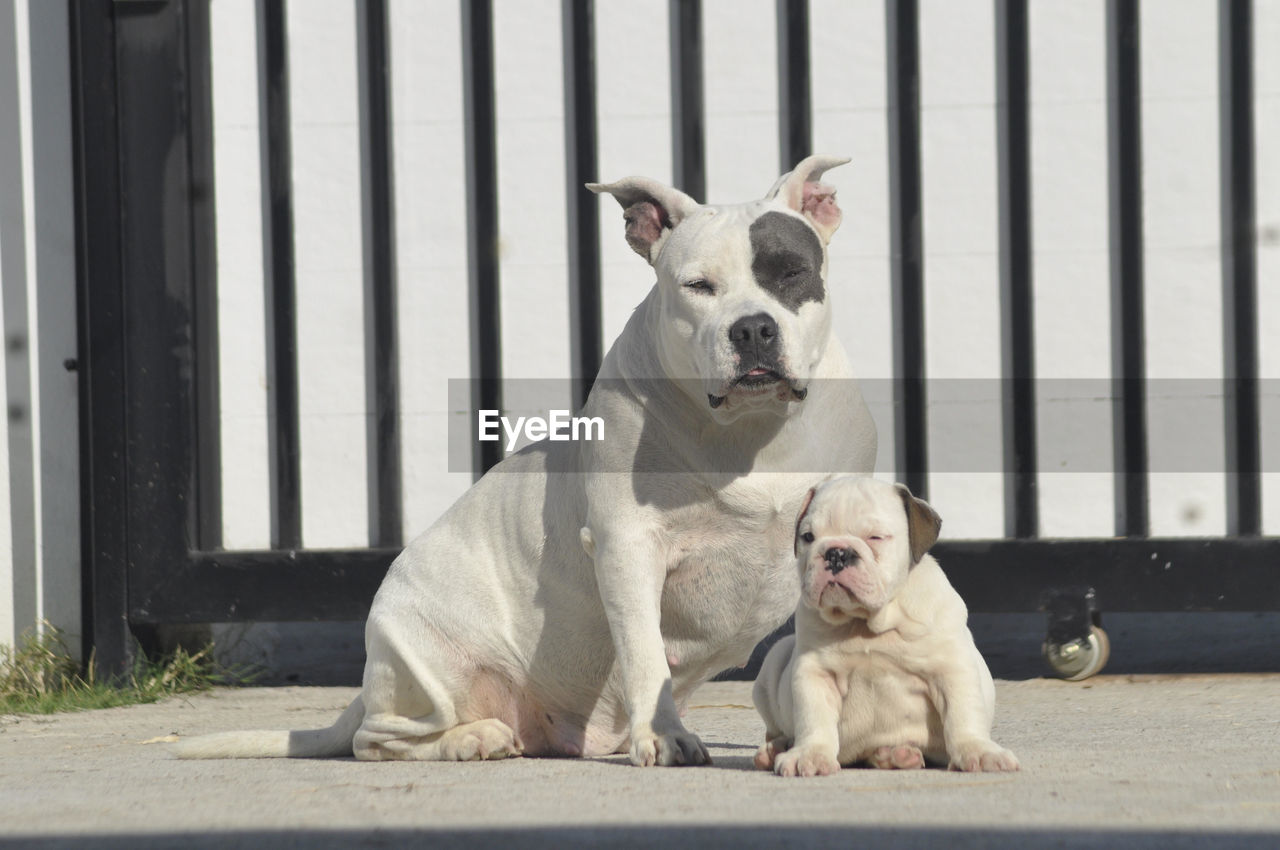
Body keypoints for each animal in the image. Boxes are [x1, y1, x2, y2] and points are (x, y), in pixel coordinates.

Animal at [175, 156, 875, 768]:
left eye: (789, 272)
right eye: (698, 287)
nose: (751, 328)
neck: (754, 435)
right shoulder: (626, 546)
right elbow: (645, 652)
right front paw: (664, 737)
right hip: (422, 653)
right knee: (380, 739)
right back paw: (472, 739)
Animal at [747, 478, 1018, 778]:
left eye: (875, 537)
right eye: (808, 537)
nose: (836, 553)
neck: (867, 623)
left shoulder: (951, 670)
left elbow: (963, 715)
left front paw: (979, 751)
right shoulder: (815, 673)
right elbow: (813, 718)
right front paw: (810, 754)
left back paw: (896, 755)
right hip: (774, 662)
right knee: (775, 729)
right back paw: (775, 750)